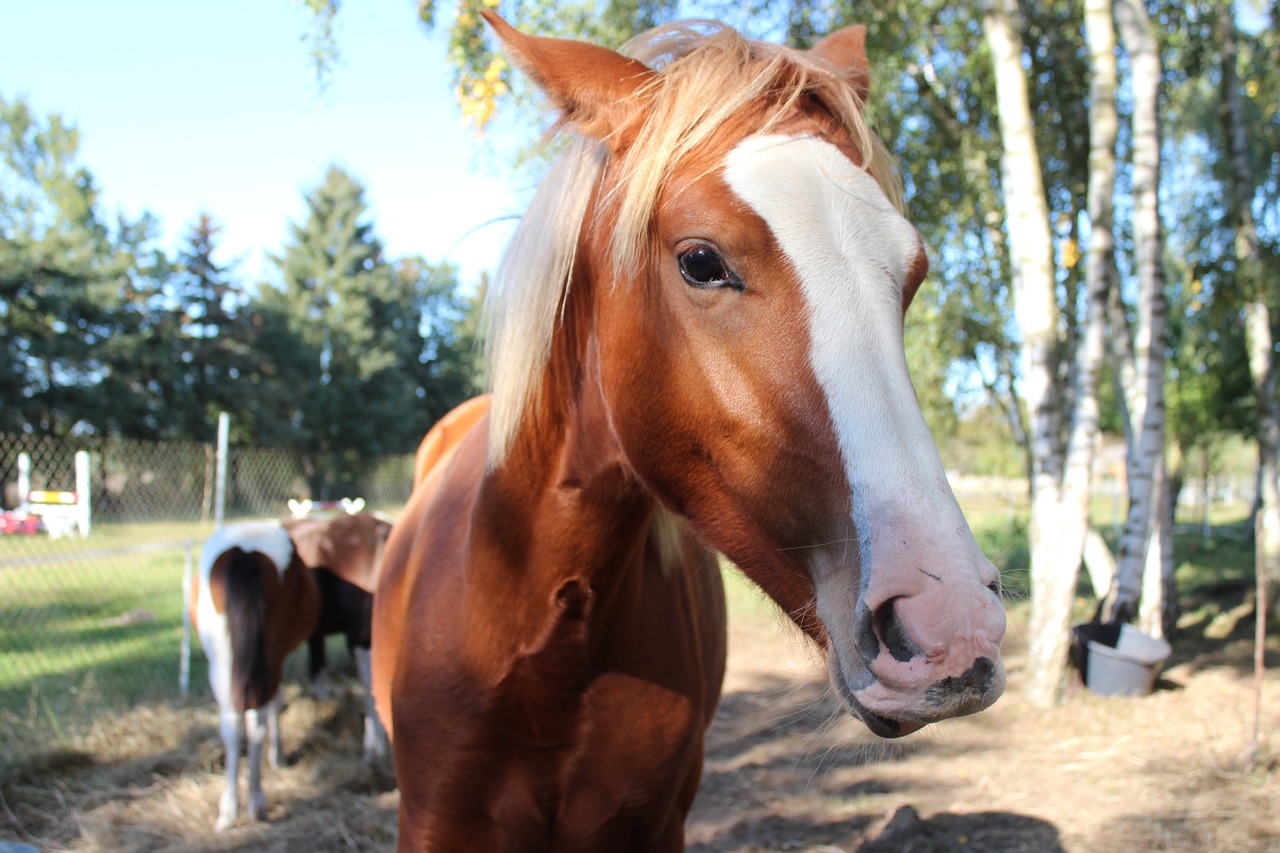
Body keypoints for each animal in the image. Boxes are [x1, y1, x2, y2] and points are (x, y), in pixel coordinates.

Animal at [190, 522, 318, 824]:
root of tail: (245, 554)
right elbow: (275, 704)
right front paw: (278, 754)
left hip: (222, 663)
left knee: (233, 726)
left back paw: (233, 806)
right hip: (262, 660)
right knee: (253, 721)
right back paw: (254, 802)